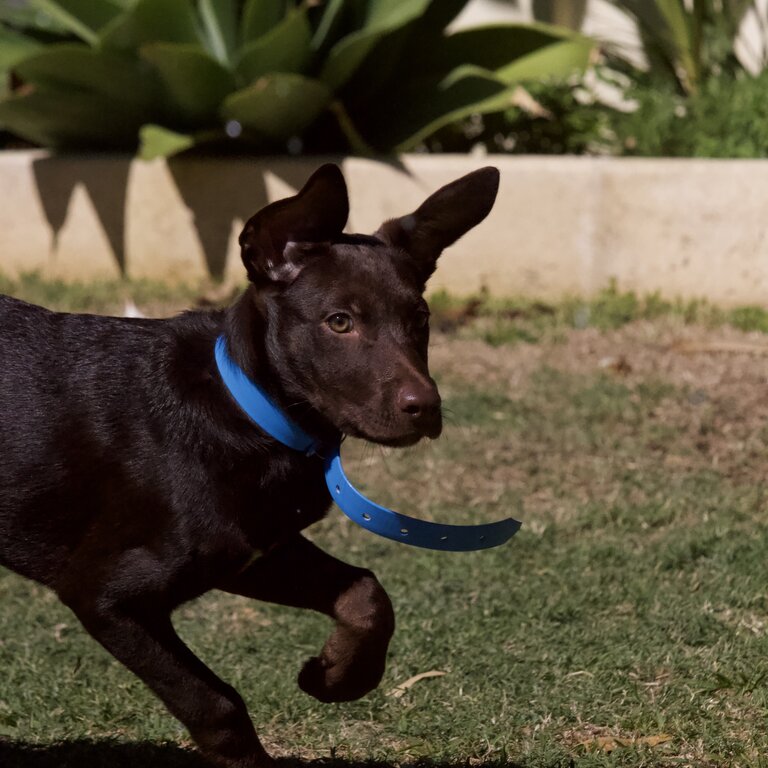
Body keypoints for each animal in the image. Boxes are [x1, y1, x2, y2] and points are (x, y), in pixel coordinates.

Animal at [0, 165, 500, 764]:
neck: (245, 411)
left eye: (420, 318)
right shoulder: (104, 594)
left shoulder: (254, 548)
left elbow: (367, 594)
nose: (425, 407)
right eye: (339, 322)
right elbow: (215, 703)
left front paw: (336, 677)